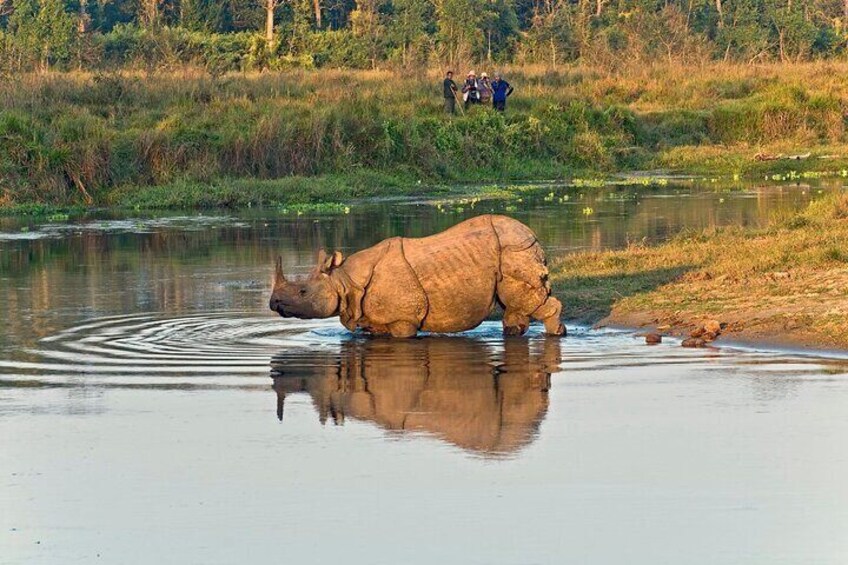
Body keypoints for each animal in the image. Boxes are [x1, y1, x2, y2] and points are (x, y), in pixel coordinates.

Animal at [268, 214, 568, 338]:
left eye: (303, 291)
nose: (273, 304)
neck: (344, 280)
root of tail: (532, 234)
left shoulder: (403, 319)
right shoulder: (375, 318)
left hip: (515, 251)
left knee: (527, 300)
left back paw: (556, 335)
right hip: (511, 252)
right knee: (514, 304)